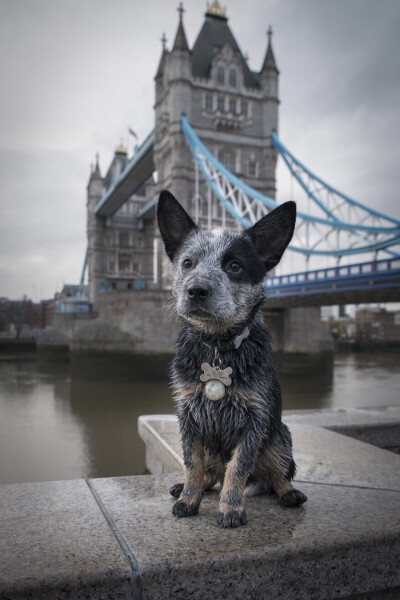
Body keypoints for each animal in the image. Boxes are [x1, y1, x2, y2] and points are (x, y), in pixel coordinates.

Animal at [156, 190, 306, 528]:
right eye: (187, 263)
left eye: (234, 266)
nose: (196, 290)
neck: (217, 347)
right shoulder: (188, 416)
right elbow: (192, 464)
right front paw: (189, 498)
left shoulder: (254, 420)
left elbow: (237, 469)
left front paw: (232, 509)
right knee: (210, 474)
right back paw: (189, 487)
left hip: (280, 437)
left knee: (277, 475)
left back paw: (289, 493)